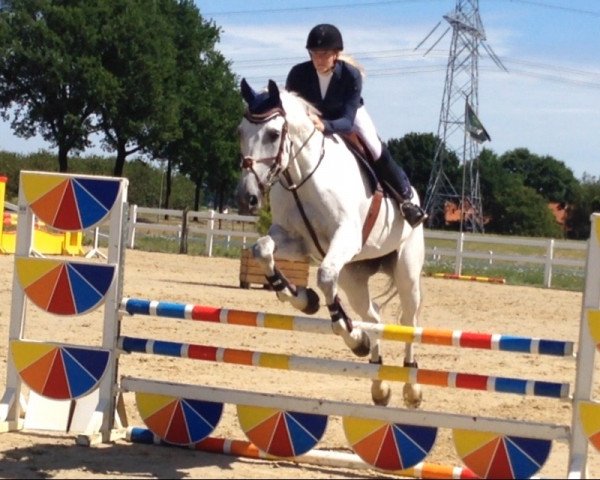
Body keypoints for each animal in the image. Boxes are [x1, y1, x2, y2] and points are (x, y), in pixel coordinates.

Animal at [237, 79, 424, 408]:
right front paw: (304, 299)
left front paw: (351, 336)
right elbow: (262, 250)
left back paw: (410, 387)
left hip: (407, 271)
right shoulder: (296, 241)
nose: (248, 198)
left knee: (408, 322)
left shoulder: (344, 239)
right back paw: (379, 384)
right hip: (353, 275)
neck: (301, 177)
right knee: (373, 316)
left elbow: (325, 277)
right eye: (239, 132)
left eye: (273, 134)